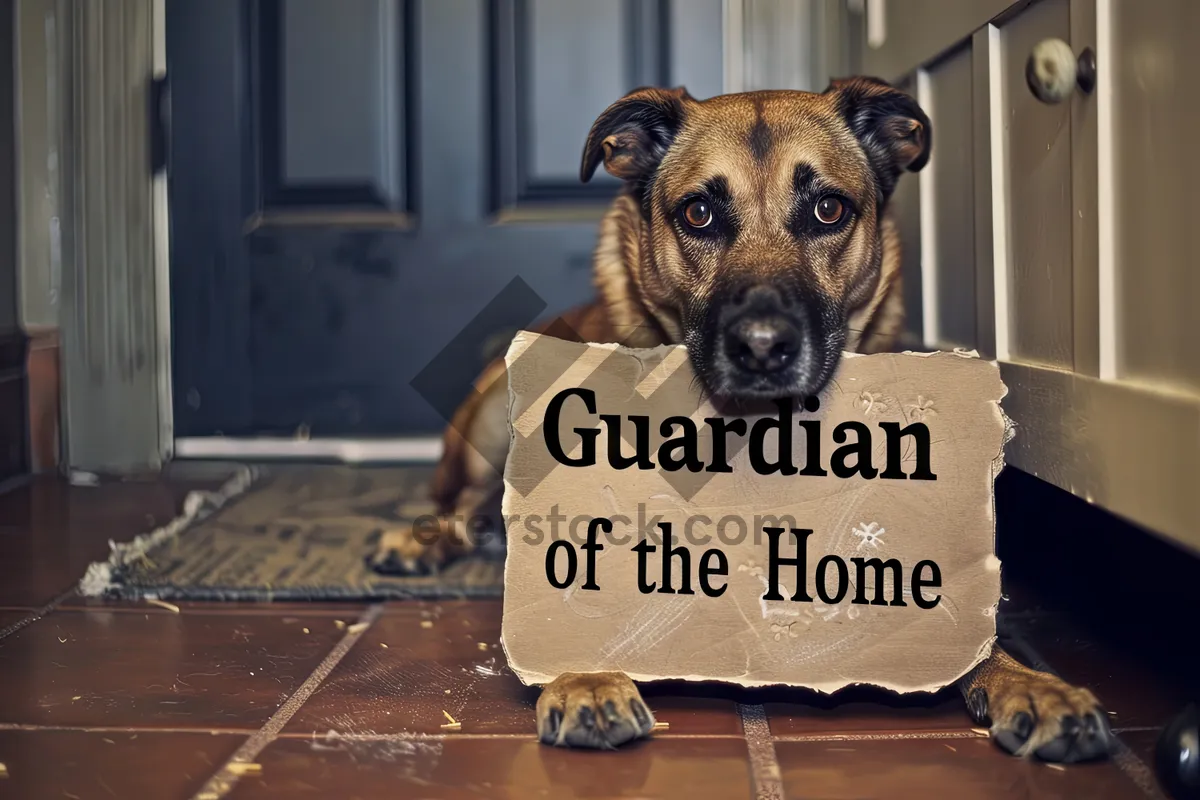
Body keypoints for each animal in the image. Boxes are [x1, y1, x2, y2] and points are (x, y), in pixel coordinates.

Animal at [374, 77, 1113, 767]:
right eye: (699, 212)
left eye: (827, 209)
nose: (760, 347)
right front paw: (585, 673)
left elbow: (980, 634)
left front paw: (1033, 683)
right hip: (488, 421)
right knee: (461, 505)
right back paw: (418, 542)